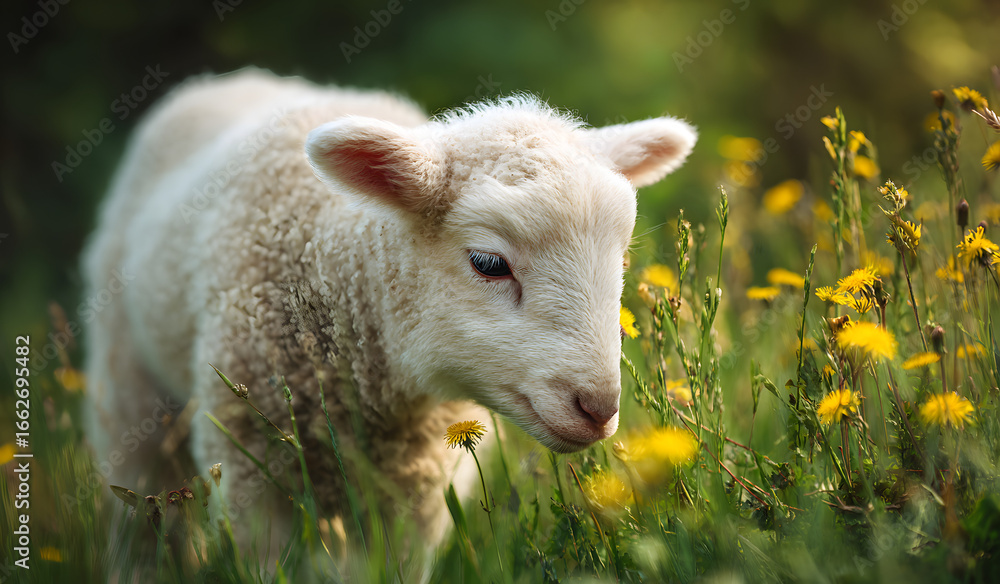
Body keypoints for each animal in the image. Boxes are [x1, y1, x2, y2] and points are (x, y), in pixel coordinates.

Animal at [83, 68, 696, 556]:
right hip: (129, 384)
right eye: (489, 262)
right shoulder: (249, 468)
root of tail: (230, 79)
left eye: (621, 257)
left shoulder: (416, 496)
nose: (598, 407)